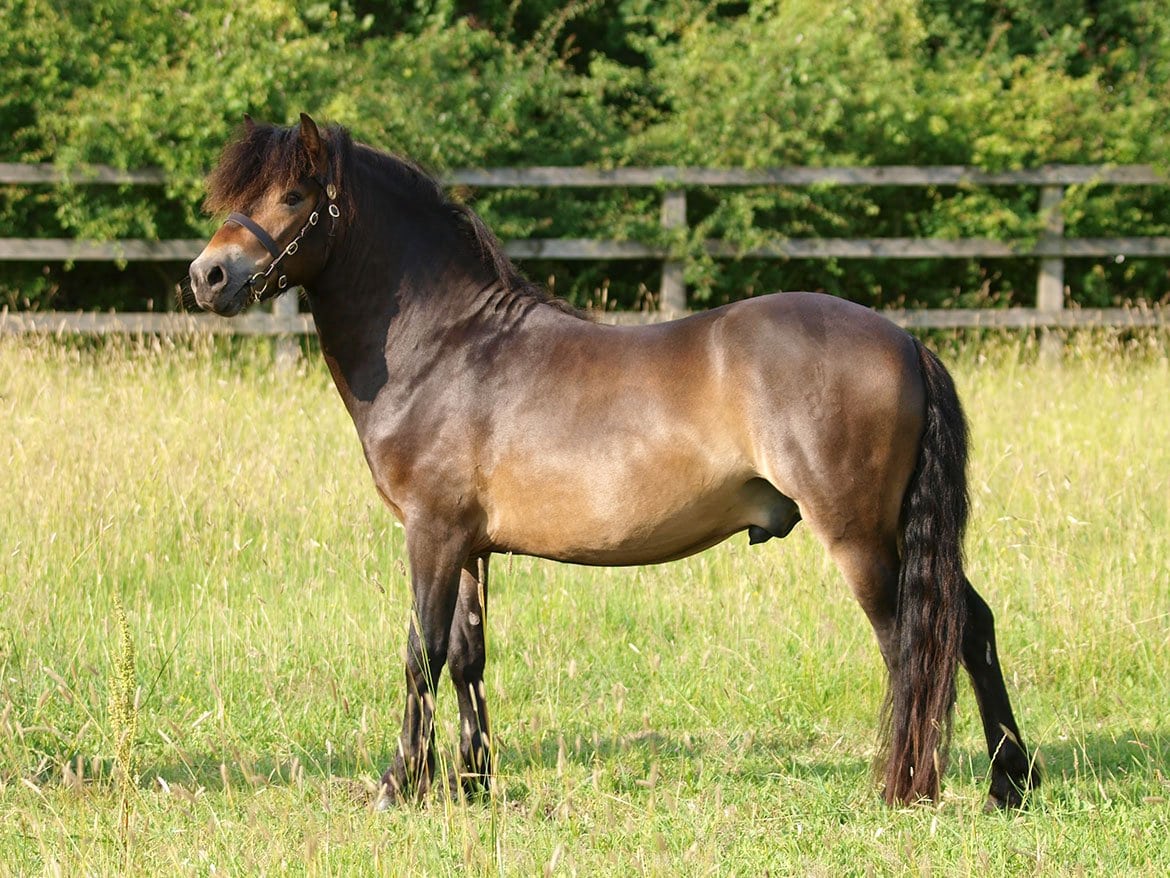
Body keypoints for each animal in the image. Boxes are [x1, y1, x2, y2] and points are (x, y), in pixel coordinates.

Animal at [187, 114, 1038, 810]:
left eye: (293, 194)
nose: (207, 276)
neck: (447, 345)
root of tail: (905, 339)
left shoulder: (431, 533)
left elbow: (420, 653)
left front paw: (400, 787)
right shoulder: (470, 544)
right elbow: (466, 656)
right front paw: (472, 785)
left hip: (861, 535)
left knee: (907, 642)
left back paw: (906, 784)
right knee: (969, 624)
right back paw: (1010, 781)